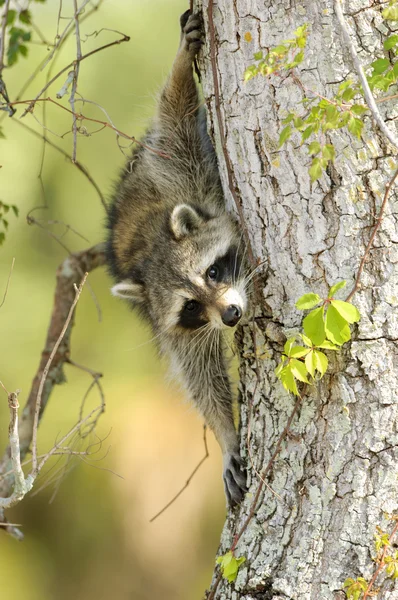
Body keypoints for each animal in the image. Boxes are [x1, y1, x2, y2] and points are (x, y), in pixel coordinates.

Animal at [105, 10, 249, 506]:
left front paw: (183, 63)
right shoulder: (173, 325)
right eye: (191, 308)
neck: (152, 248)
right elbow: (198, 371)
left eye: (213, 271)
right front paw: (226, 432)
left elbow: (176, 112)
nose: (230, 316)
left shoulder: (178, 170)